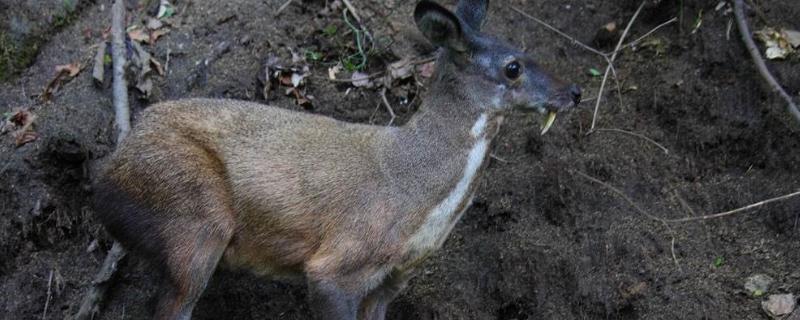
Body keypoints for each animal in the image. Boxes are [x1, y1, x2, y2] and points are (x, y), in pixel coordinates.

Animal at [94, 1, 580, 318]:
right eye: (513, 67)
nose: (574, 92)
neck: (417, 197)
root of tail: (108, 172)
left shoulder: (392, 280)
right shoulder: (339, 264)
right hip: (193, 220)